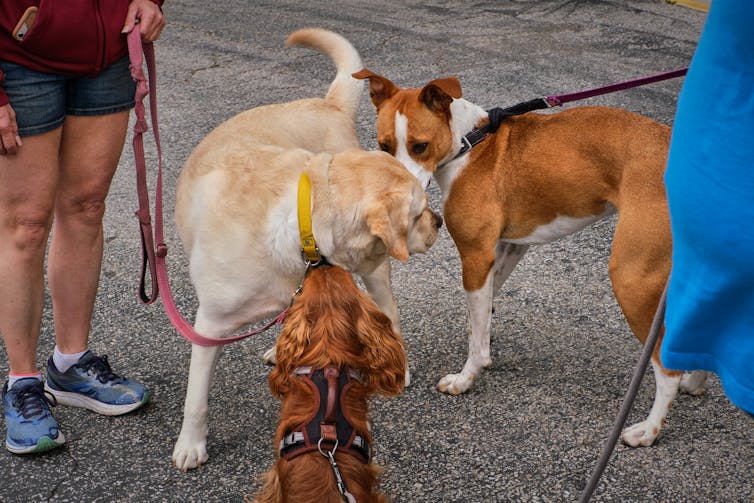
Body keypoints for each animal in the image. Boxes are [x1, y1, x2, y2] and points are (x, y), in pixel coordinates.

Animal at [170, 28, 440, 472]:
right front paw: (191, 443)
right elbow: (196, 397)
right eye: (418, 212)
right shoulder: (208, 325)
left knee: (390, 311)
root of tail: (327, 103)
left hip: (375, 270)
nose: (439, 222)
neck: (301, 218)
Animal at [352, 69, 704, 446]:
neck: (469, 144)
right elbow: (482, 314)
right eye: (384, 146)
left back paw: (649, 430)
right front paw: (482, 341)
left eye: (420, 146)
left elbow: (477, 334)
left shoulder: (476, 256)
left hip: (631, 278)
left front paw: (466, 378)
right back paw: (694, 382)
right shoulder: (508, 248)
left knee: (666, 368)